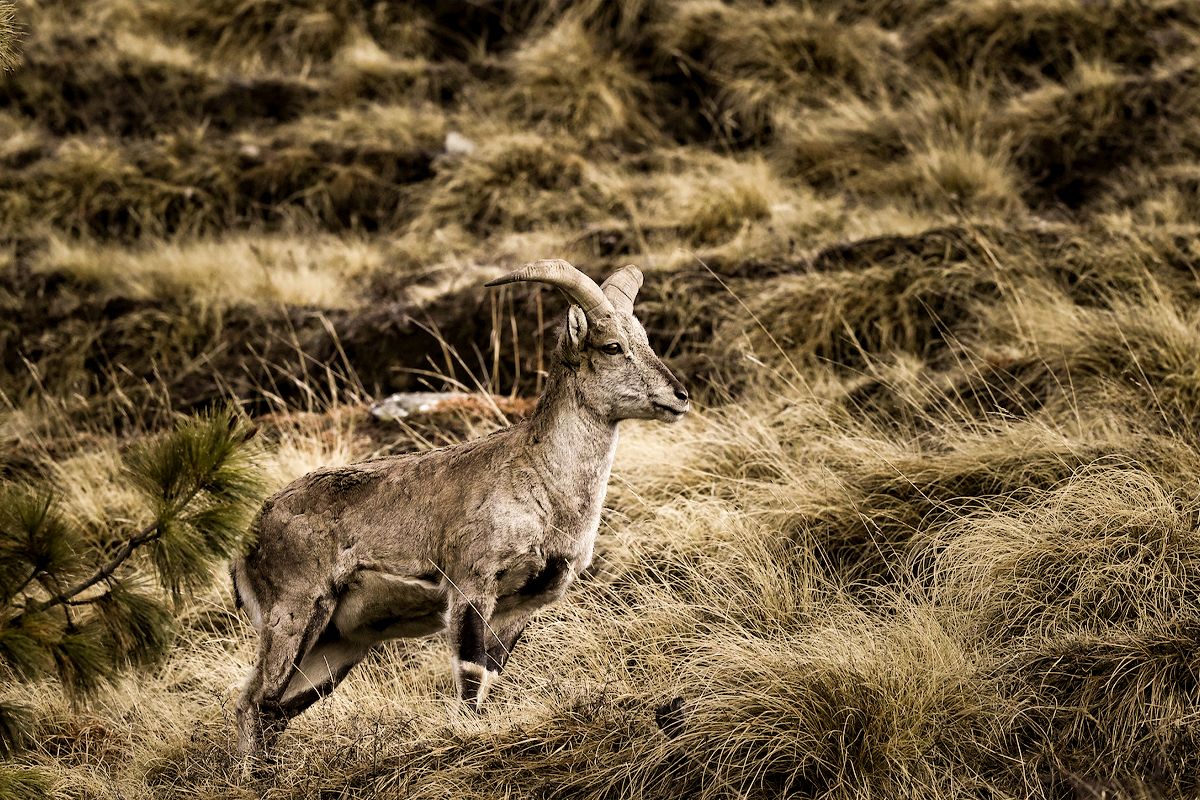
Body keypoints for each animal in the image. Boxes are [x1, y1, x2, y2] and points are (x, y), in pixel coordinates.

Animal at [229, 261, 691, 762]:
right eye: (612, 346)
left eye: (644, 339)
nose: (679, 395)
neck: (543, 483)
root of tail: (248, 542)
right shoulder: (471, 584)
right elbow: (470, 675)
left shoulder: (520, 606)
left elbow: (489, 674)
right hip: (294, 615)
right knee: (254, 702)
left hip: (338, 644)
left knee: (277, 708)